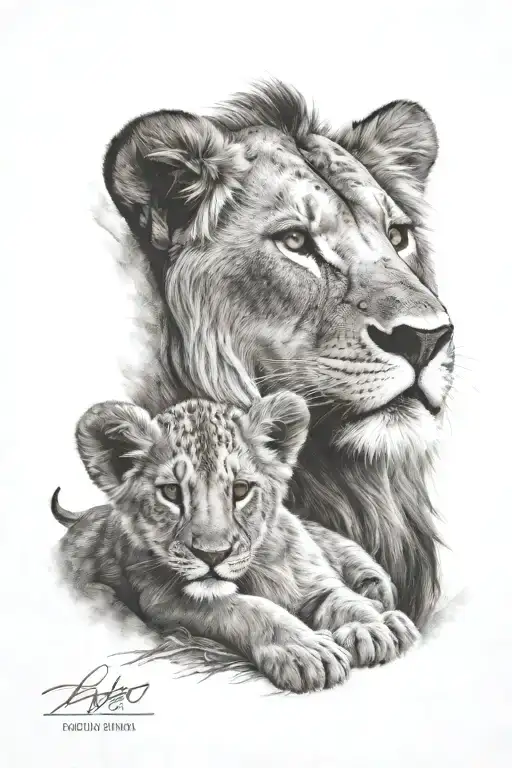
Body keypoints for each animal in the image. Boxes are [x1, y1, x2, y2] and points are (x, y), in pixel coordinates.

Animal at [53, 392, 419, 693]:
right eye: (171, 492)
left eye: (241, 489)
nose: (213, 555)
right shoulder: (164, 600)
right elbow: (248, 609)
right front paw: (306, 650)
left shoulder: (316, 581)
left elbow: (343, 598)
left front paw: (370, 629)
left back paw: (384, 607)